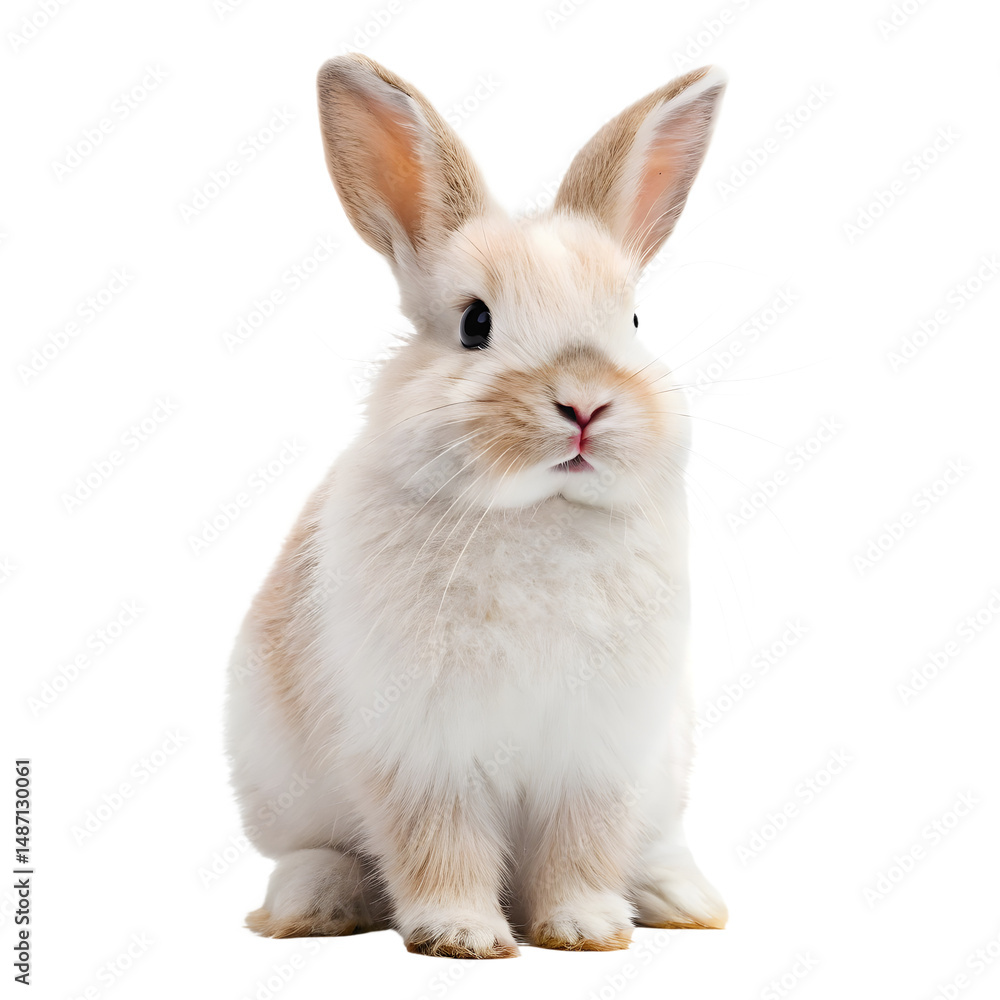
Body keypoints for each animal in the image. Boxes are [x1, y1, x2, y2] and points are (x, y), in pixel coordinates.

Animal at [225, 52, 728, 958]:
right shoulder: (422, 752)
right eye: (475, 323)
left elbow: (582, 846)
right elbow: (440, 844)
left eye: (635, 319)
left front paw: (585, 928)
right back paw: (313, 907)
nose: (585, 404)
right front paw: (464, 936)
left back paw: (680, 899)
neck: (536, 516)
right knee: (318, 853)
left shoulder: (598, 756)